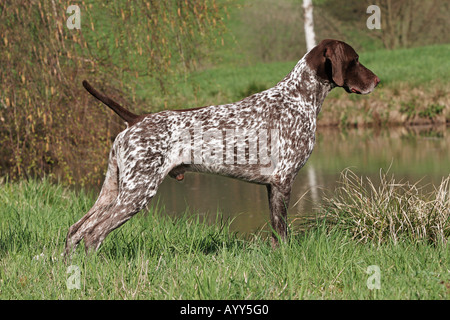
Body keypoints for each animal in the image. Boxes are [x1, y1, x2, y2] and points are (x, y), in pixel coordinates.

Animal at [63, 40, 380, 255]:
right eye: (355, 59)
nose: (377, 81)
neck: (298, 97)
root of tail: (136, 119)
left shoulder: (272, 185)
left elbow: (275, 231)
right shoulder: (283, 180)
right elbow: (282, 231)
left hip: (113, 190)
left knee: (75, 231)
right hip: (137, 193)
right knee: (93, 235)